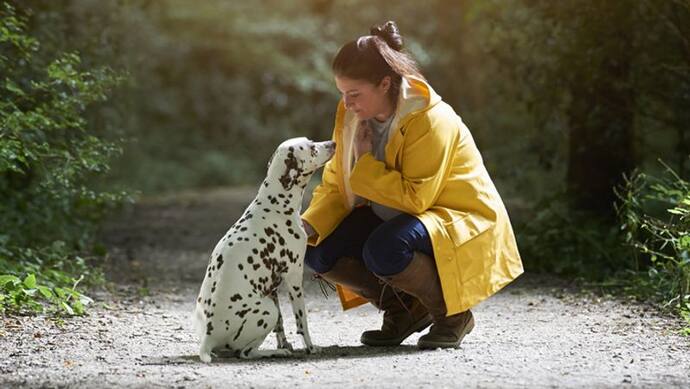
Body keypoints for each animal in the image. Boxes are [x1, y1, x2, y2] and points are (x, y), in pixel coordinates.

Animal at [191, 137, 336, 360]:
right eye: (312, 148)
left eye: (312, 142)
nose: (333, 143)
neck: (275, 204)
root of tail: (207, 340)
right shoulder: (294, 279)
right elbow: (302, 321)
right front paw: (310, 348)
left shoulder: (272, 289)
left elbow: (281, 325)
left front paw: (284, 343)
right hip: (268, 311)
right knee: (245, 353)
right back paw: (276, 353)